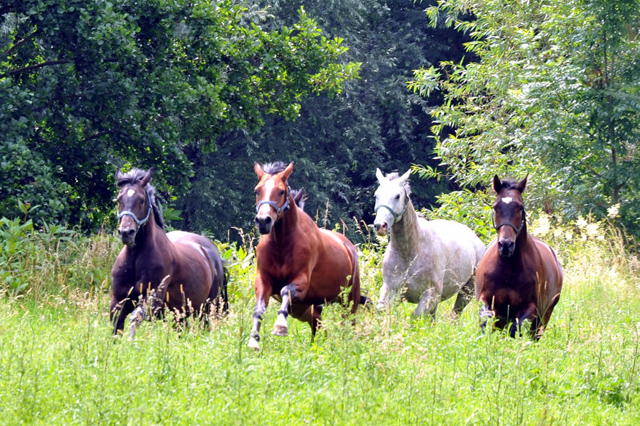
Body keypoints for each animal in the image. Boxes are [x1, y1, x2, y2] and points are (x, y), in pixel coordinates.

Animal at [110, 166, 228, 336]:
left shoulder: (152, 298)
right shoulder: (118, 301)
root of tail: (213, 254)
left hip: (206, 309)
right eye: (119, 199)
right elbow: (116, 328)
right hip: (180, 314)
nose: (126, 232)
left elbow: (135, 317)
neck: (135, 258)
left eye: (141, 200)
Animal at [249, 161, 362, 352]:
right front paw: (253, 341)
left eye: (281, 191)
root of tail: (349, 247)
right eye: (257, 190)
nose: (263, 221)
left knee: (349, 321)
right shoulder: (264, 280)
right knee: (317, 323)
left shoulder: (301, 281)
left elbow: (285, 290)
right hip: (306, 307)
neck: (281, 243)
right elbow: (259, 308)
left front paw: (280, 326)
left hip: (349, 299)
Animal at [370, 168, 484, 318]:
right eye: (376, 195)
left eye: (397, 196)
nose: (380, 226)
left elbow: (416, 317)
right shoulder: (391, 290)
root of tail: (477, 240)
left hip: (466, 293)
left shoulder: (430, 295)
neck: (409, 252)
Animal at [472, 175, 564, 338]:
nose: (506, 245)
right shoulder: (488, 300)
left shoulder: (530, 308)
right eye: (495, 207)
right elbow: (485, 319)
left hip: (544, 317)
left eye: (520, 208)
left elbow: (516, 328)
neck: (509, 269)